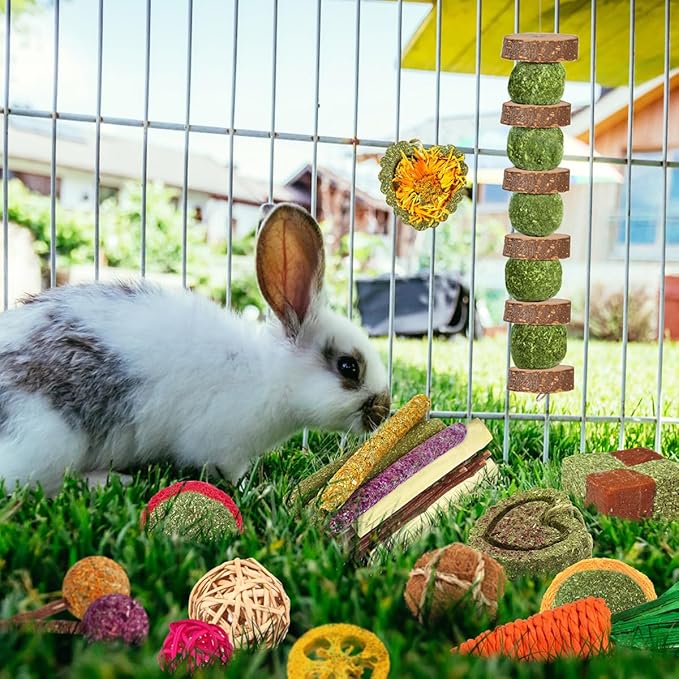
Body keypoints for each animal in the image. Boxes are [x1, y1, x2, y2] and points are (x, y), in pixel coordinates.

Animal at [0, 203, 391, 496]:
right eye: (348, 367)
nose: (385, 410)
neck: (272, 375)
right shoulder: (222, 446)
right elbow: (227, 474)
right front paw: (252, 488)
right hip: (48, 442)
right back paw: (110, 480)